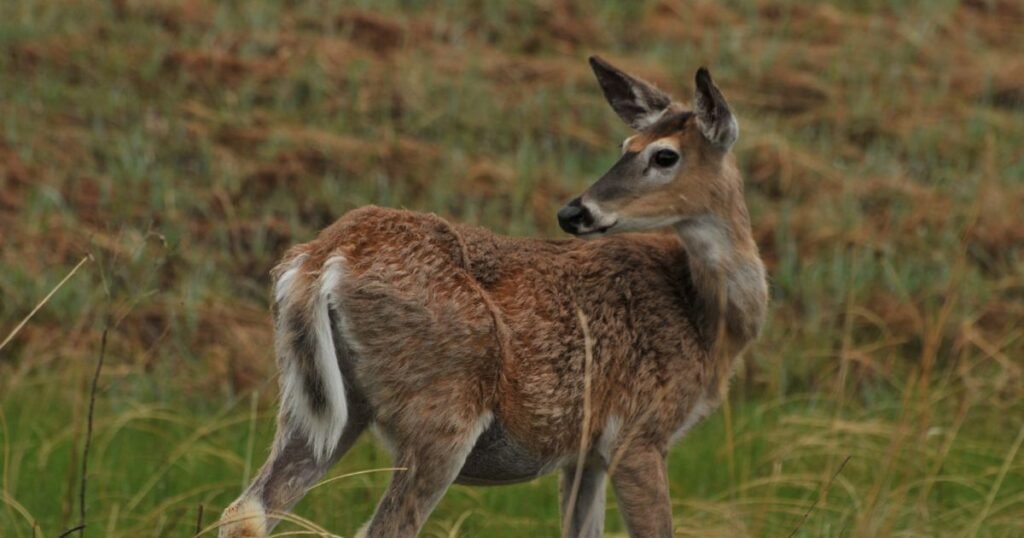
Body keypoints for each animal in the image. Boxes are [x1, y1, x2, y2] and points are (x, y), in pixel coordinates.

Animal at [218, 56, 768, 538]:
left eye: (663, 154)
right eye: (626, 144)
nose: (575, 211)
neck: (706, 320)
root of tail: (324, 257)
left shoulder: (585, 453)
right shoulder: (640, 434)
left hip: (320, 405)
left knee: (247, 511)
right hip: (443, 406)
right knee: (384, 527)